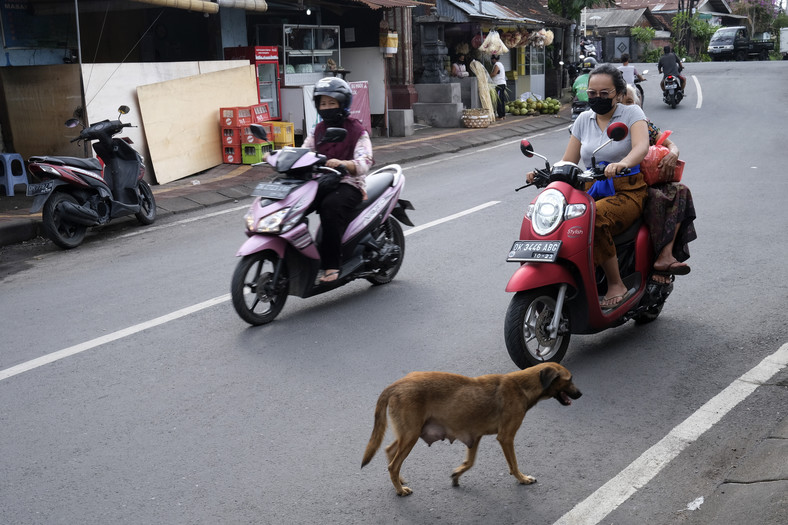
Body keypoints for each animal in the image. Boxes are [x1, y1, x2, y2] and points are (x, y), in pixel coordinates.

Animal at [362, 362, 580, 494]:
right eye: (569, 380)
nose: (581, 394)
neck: (521, 386)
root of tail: (397, 385)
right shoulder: (506, 437)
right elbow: (513, 464)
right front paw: (522, 478)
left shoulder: (474, 436)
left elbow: (470, 462)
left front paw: (457, 475)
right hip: (411, 436)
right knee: (393, 464)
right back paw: (399, 490)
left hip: (407, 434)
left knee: (390, 451)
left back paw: (400, 480)